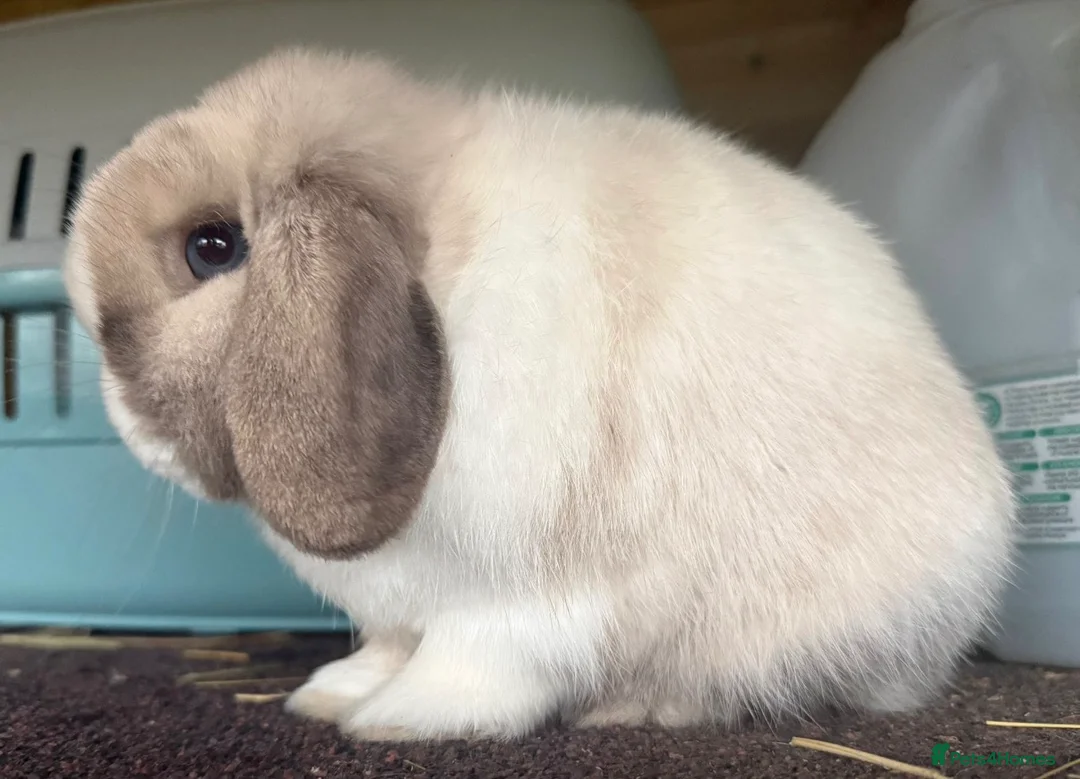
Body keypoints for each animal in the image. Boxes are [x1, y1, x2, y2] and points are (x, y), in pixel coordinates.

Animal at [62, 47, 1017, 743]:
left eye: (213, 247)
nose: (123, 421)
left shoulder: (522, 599)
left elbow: (476, 658)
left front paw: (402, 720)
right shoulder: (399, 605)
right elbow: (390, 642)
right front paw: (333, 692)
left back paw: (644, 704)